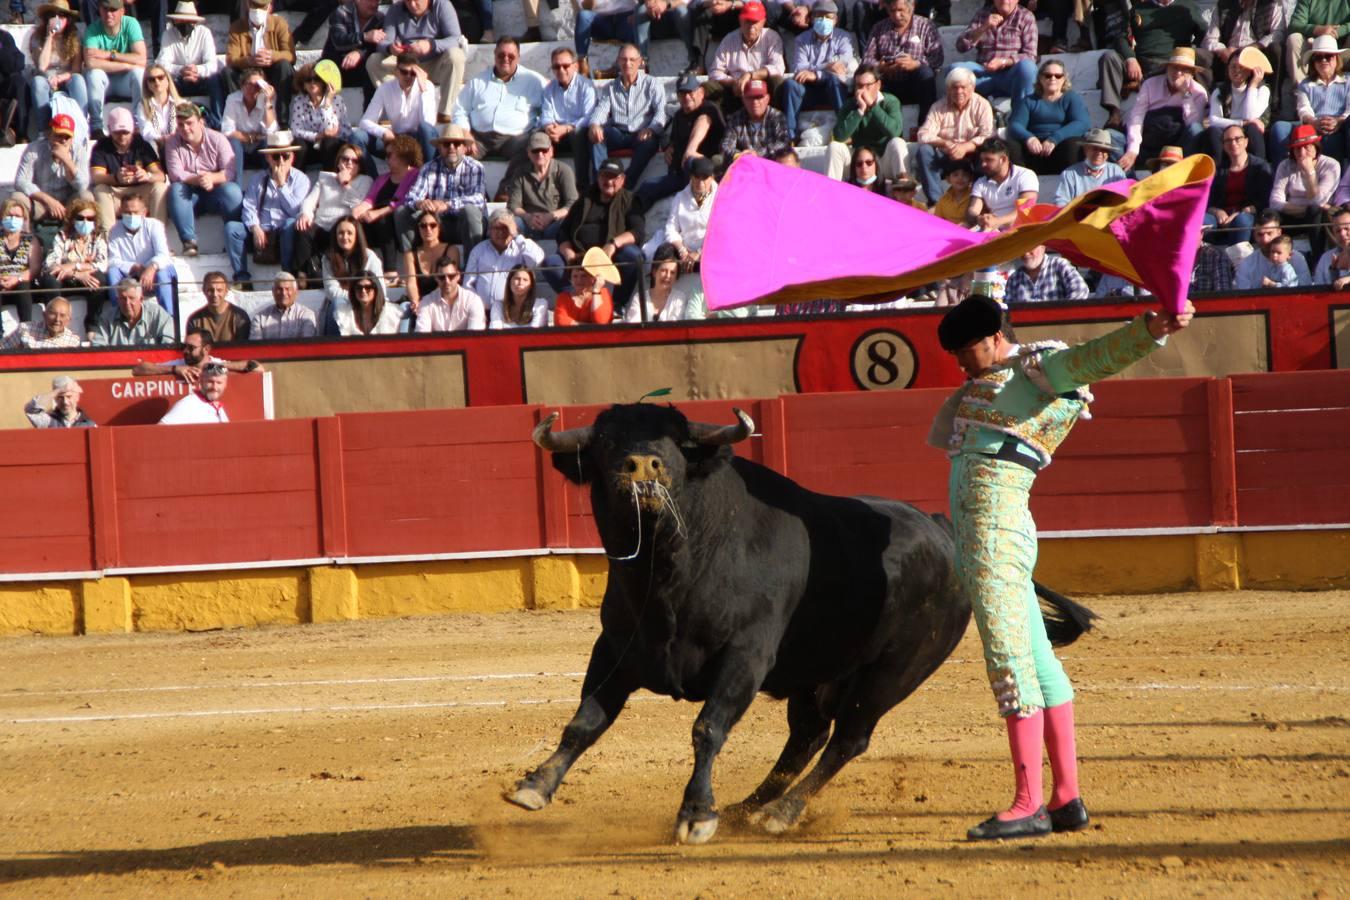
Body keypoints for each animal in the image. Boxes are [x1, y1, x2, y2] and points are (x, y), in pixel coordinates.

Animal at [507, 404, 1096, 841]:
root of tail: (943, 528)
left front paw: (696, 814)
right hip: (815, 675)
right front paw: (534, 785)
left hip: (895, 673)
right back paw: (745, 809)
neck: (670, 568)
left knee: (848, 739)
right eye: (605, 442)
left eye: (675, 444)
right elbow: (585, 720)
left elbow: (708, 727)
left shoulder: (746, 656)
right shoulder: (615, 649)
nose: (642, 467)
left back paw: (778, 813)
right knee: (808, 736)